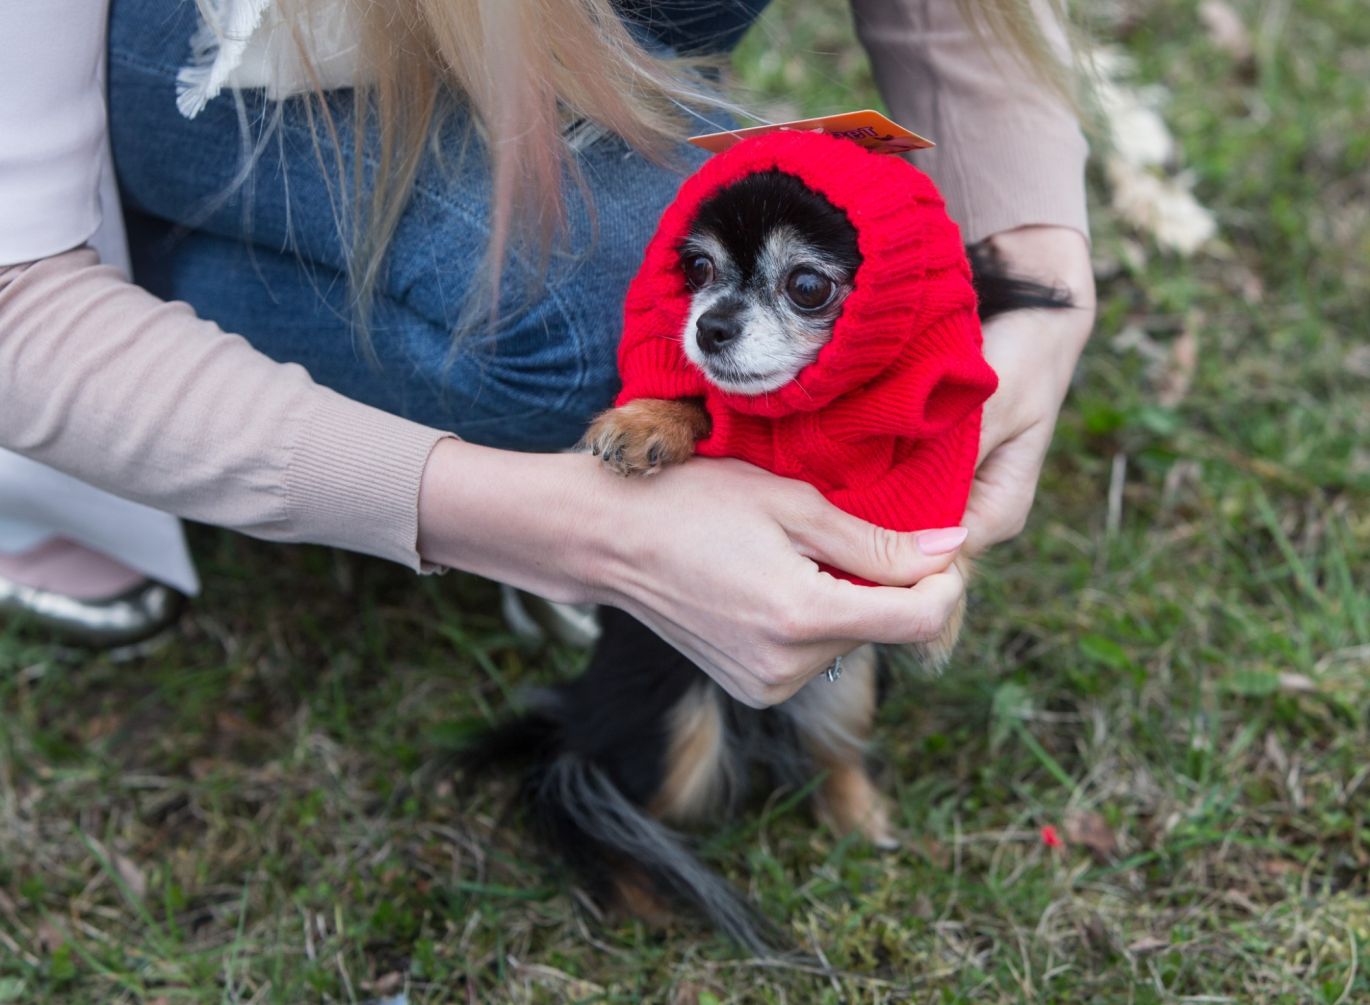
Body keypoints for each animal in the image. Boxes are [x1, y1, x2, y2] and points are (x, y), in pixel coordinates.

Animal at [471, 153, 1068, 958]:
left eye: (807, 286)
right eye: (695, 268)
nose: (709, 325)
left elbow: (946, 507)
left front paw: (940, 612)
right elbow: (707, 403)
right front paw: (646, 419)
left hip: (844, 688)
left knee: (829, 755)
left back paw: (862, 820)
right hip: (674, 727)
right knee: (593, 791)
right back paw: (641, 900)